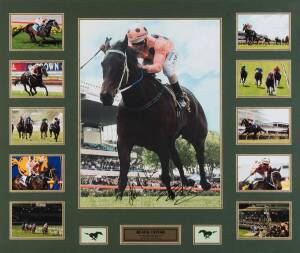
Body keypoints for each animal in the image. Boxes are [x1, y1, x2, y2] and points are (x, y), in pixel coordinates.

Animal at [99, 36, 210, 201]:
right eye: (103, 64)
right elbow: (123, 176)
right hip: (172, 140)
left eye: (120, 63)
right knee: (177, 158)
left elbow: (165, 175)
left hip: (197, 135)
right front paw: (118, 197)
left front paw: (171, 195)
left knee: (200, 156)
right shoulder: (124, 141)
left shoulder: (161, 142)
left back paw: (204, 183)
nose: (105, 96)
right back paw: (186, 181)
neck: (139, 103)